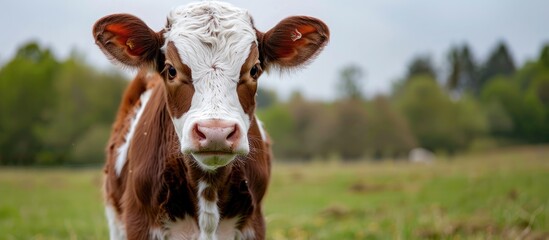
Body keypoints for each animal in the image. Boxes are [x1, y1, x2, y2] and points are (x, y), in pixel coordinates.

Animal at [92, 1, 328, 238]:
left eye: (254, 69)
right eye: (171, 70)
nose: (216, 132)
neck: (209, 190)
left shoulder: (254, 224)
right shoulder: (139, 222)